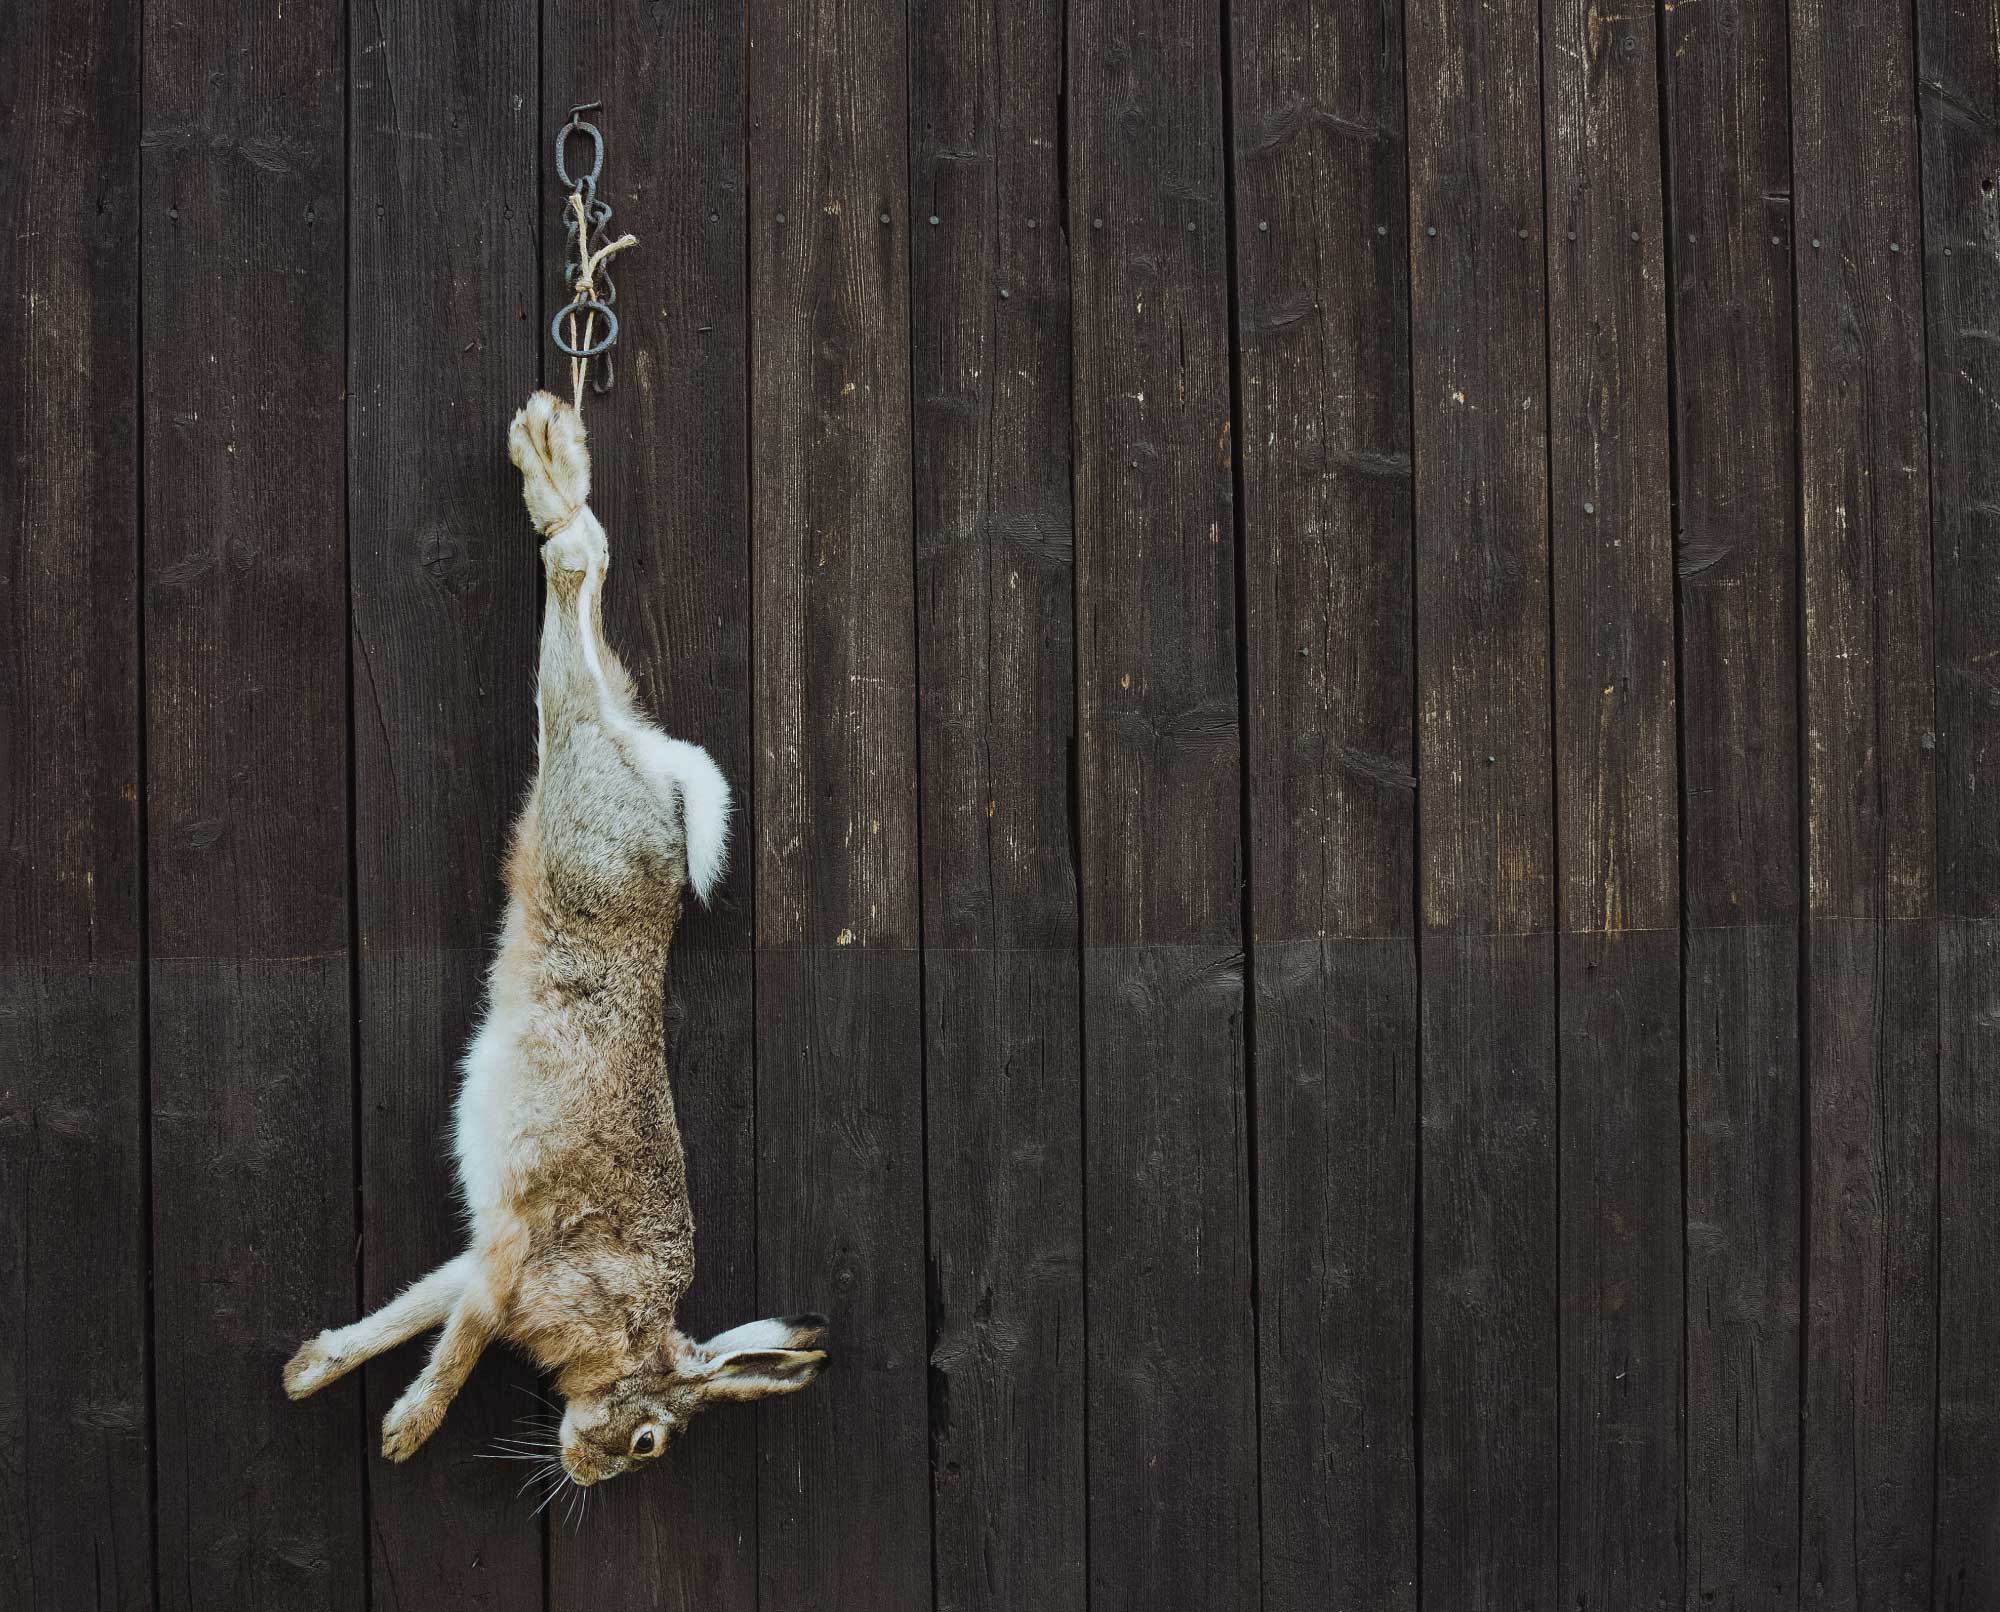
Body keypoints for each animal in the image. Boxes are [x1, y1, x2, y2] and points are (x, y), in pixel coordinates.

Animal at [283, 390, 826, 1485]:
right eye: (652, 1439)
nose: (587, 1473)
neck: (629, 1333)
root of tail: (646, 764)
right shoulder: (513, 1263)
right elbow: (457, 1343)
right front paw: (408, 1429)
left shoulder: (483, 1249)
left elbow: (417, 1310)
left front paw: (313, 1369)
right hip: (576, 786)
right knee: (575, 585)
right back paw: (548, 467)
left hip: (576, 762)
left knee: (586, 611)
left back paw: (549, 457)